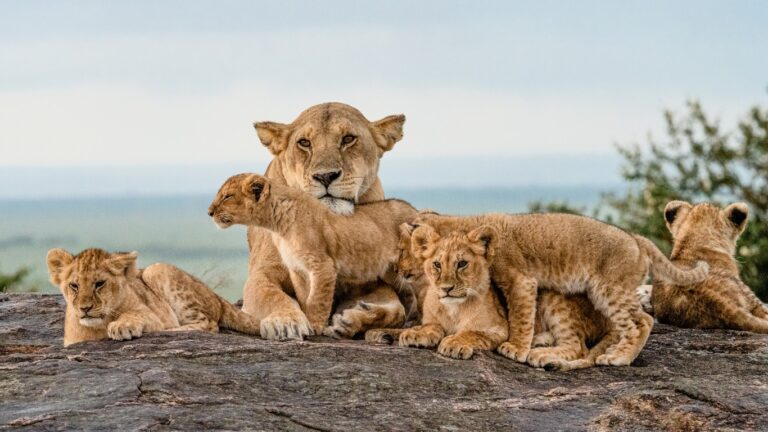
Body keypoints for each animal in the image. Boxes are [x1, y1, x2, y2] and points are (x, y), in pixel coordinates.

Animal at [46, 248, 260, 346]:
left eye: (99, 284)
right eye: (74, 286)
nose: (85, 308)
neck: (96, 328)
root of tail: (215, 295)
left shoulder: (151, 315)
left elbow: (136, 315)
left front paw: (121, 326)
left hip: (156, 270)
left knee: (208, 324)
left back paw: (171, 329)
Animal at [208, 173, 418, 336]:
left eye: (227, 196)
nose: (209, 212)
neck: (278, 224)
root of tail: (415, 210)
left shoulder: (323, 265)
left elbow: (318, 299)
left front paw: (316, 325)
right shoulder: (297, 268)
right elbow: (304, 298)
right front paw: (306, 319)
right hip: (391, 273)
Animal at [243, 103, 407, 341]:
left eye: (348, 138)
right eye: (304, 142)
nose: (325, 176)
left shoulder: (369, 280)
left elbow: (398, 311)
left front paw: (352, 320)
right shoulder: (262, 271)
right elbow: (270, 295)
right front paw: (287, 322)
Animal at [410, 212, 707, 366]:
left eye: (461, 264)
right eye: (436, 264)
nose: (446, 287)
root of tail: (637, 239)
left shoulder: (521, 280)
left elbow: (520, 317)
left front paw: (516, 348)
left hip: (608, 289)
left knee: (640, 321)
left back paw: (619, 357)